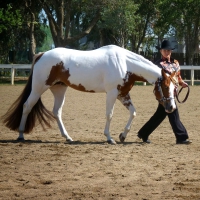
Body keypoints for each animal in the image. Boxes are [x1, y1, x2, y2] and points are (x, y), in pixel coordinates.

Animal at [1, 45, 177, 144]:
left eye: (175, 88)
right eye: (165, 86)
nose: (171, 108)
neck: (125, 63)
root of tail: (42, 55)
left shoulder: (123, 94)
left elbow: (133, 113)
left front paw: (122, 135)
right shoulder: (112, 93)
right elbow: (109, 115)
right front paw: (109, 138)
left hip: (59, 89)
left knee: (56, 111)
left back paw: (68, 137)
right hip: (39, 87)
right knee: (27, 106)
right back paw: (21, 135)